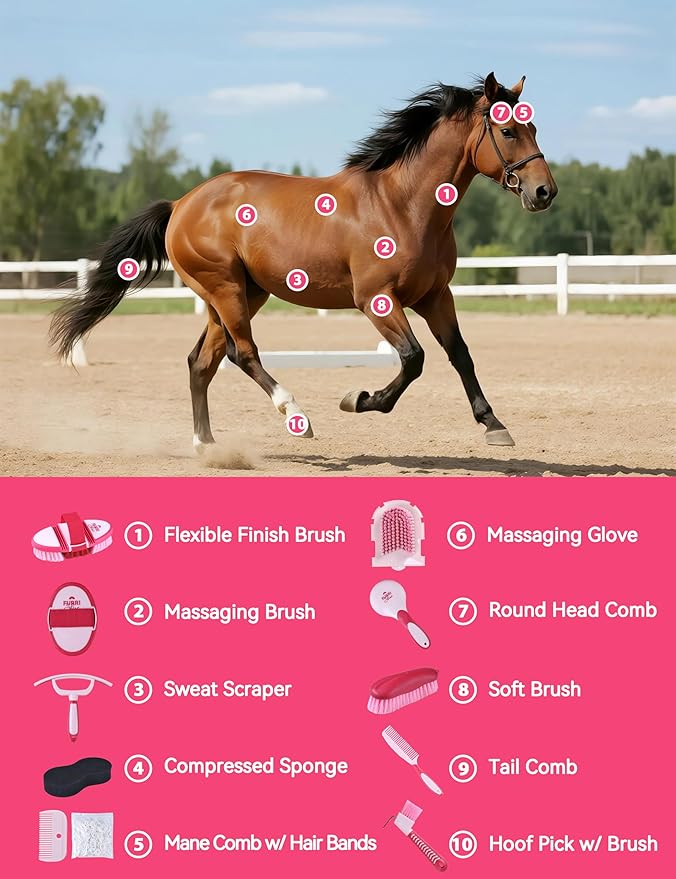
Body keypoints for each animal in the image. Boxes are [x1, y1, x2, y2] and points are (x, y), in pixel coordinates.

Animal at [51, 72, 557, 452]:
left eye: (534, 128)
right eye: (508, 130)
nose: (544, 192)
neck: (403, 204)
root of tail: (181, 204)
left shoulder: (436, 296)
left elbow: (460, 354)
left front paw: (494, 425)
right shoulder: (376, 299)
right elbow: (413, 359)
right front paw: (359, 399)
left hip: (238, 295)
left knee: (202, 362)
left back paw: (207, 446)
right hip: (225, 290)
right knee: (241, 352)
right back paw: (296, 416)